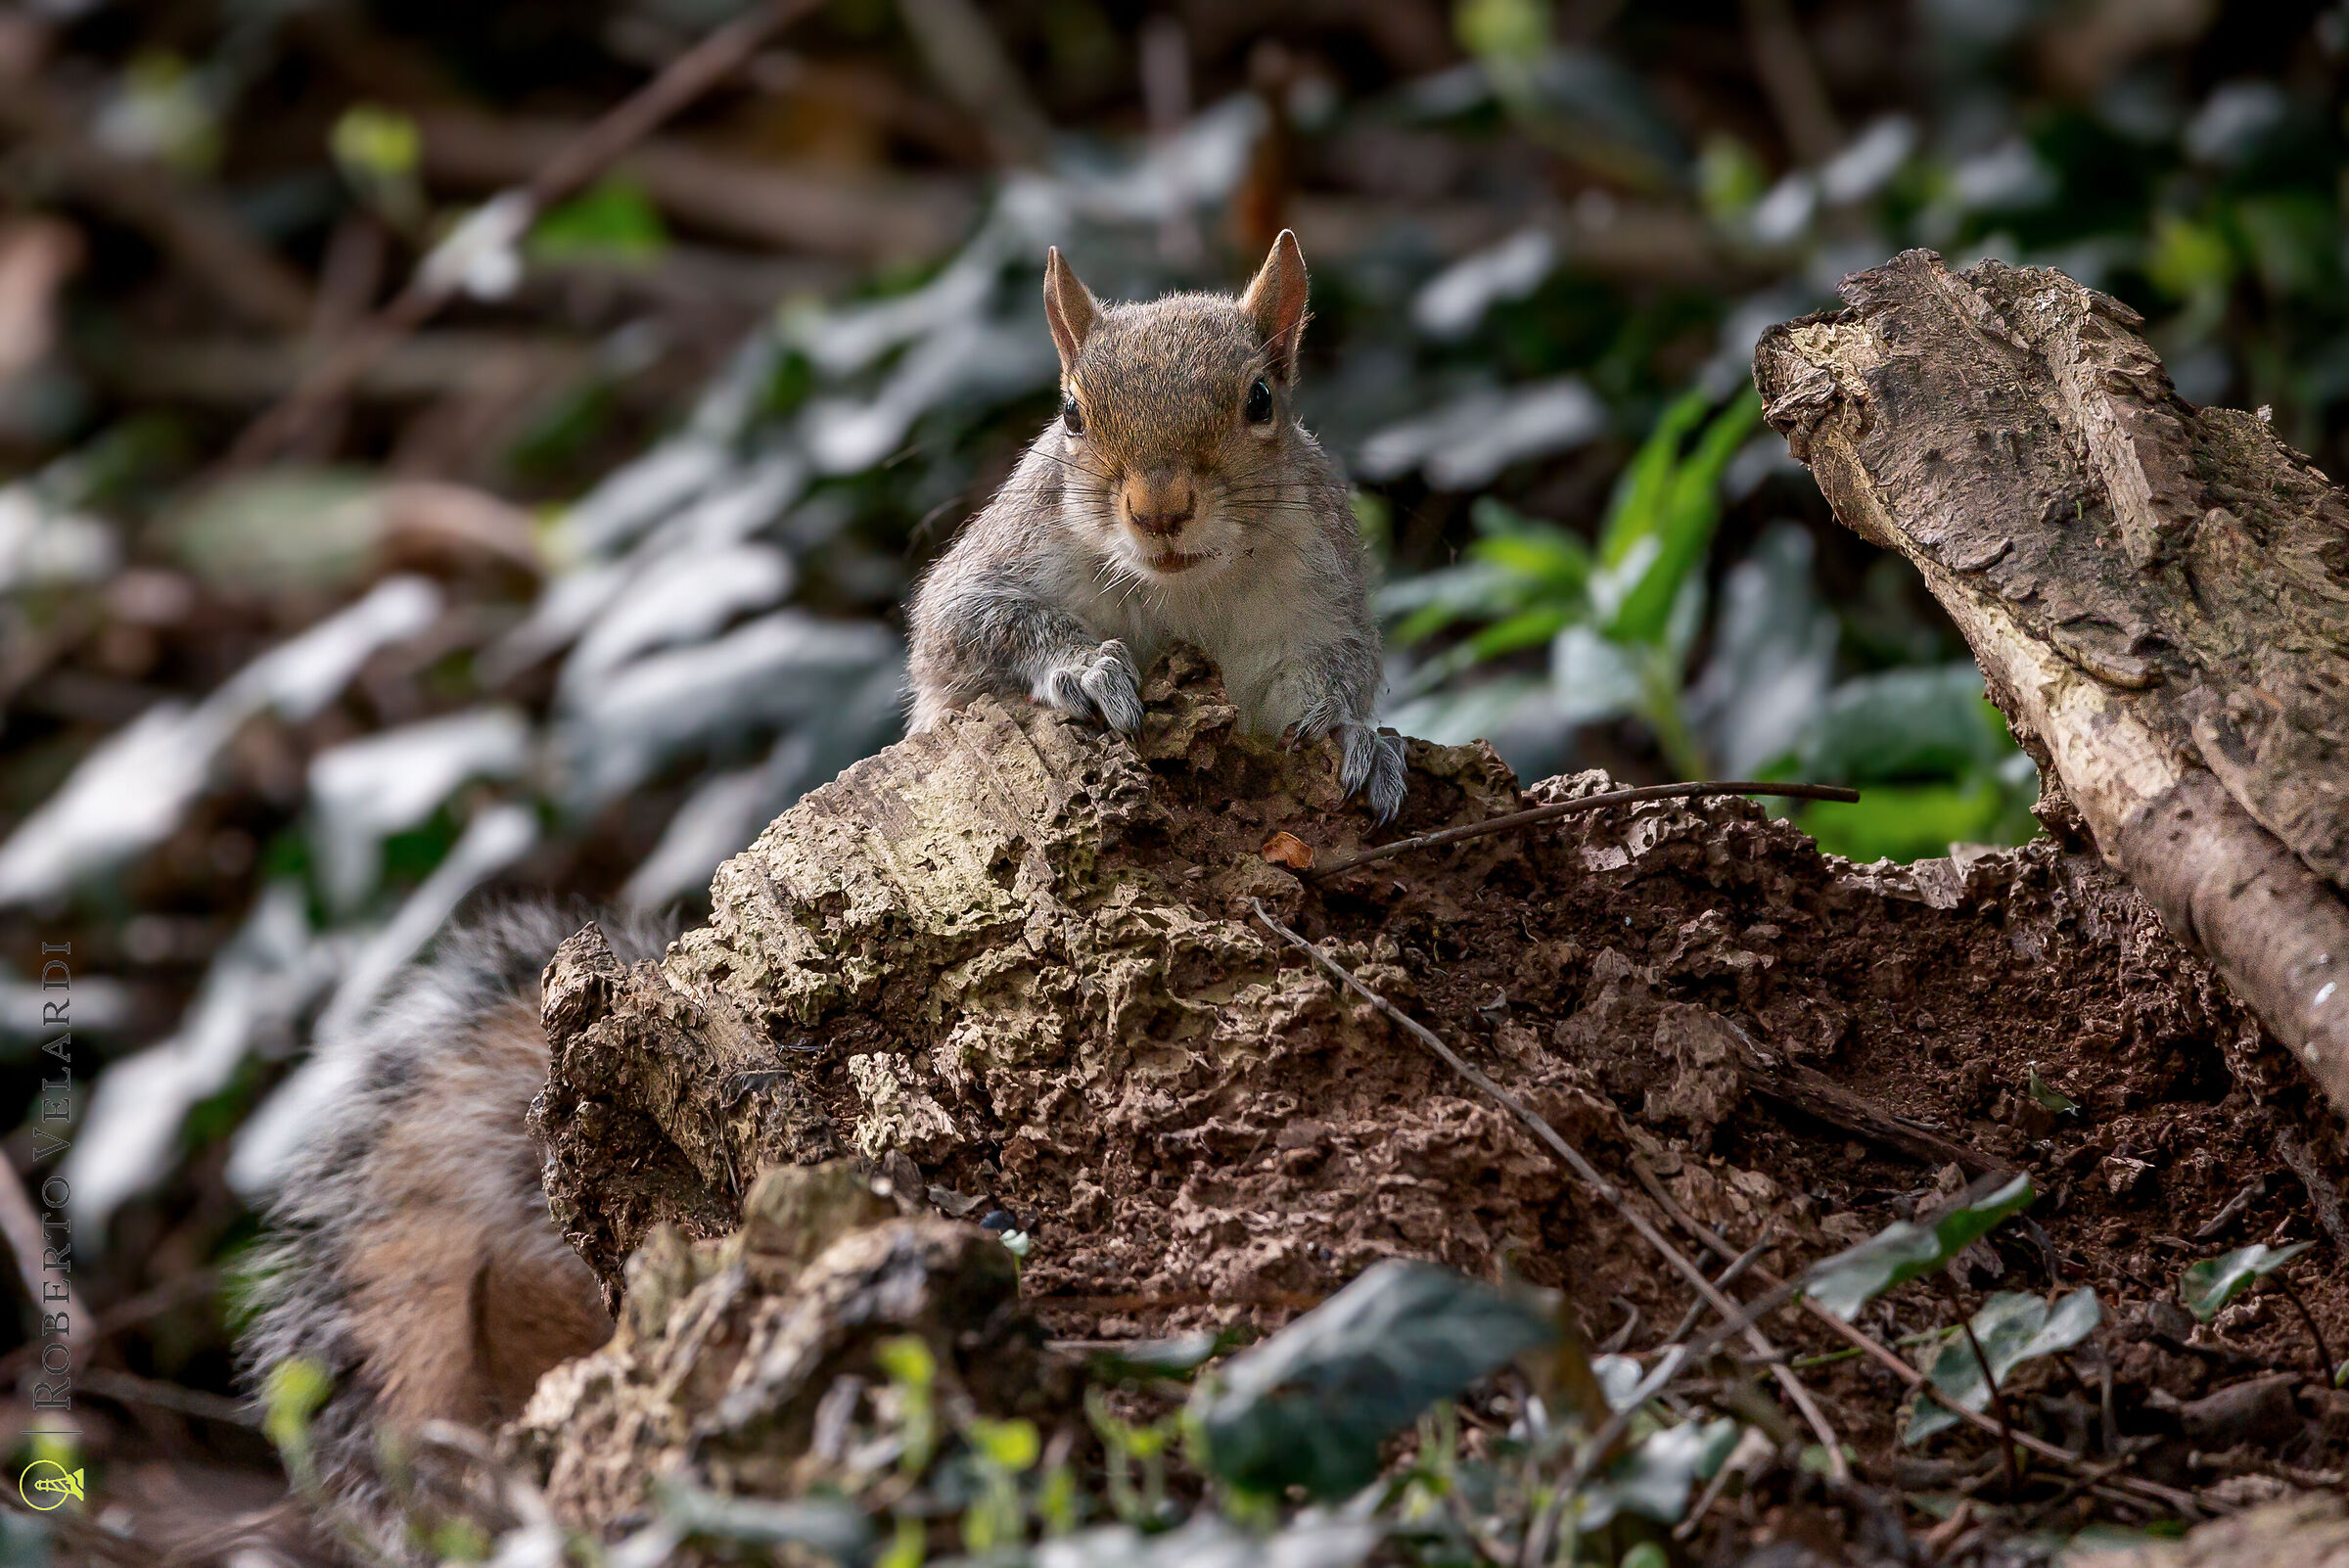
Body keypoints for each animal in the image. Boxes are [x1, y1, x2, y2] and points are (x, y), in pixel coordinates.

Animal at [908, 231, 1407, 821]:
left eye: (1260, 399)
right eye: (1071, 413)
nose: (1159, 511)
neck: (1185, 587)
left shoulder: (1327, 593)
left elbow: (1340, 665)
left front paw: (1353, 735)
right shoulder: (1008, 551)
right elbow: (964, 623)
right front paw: (1086, 665)